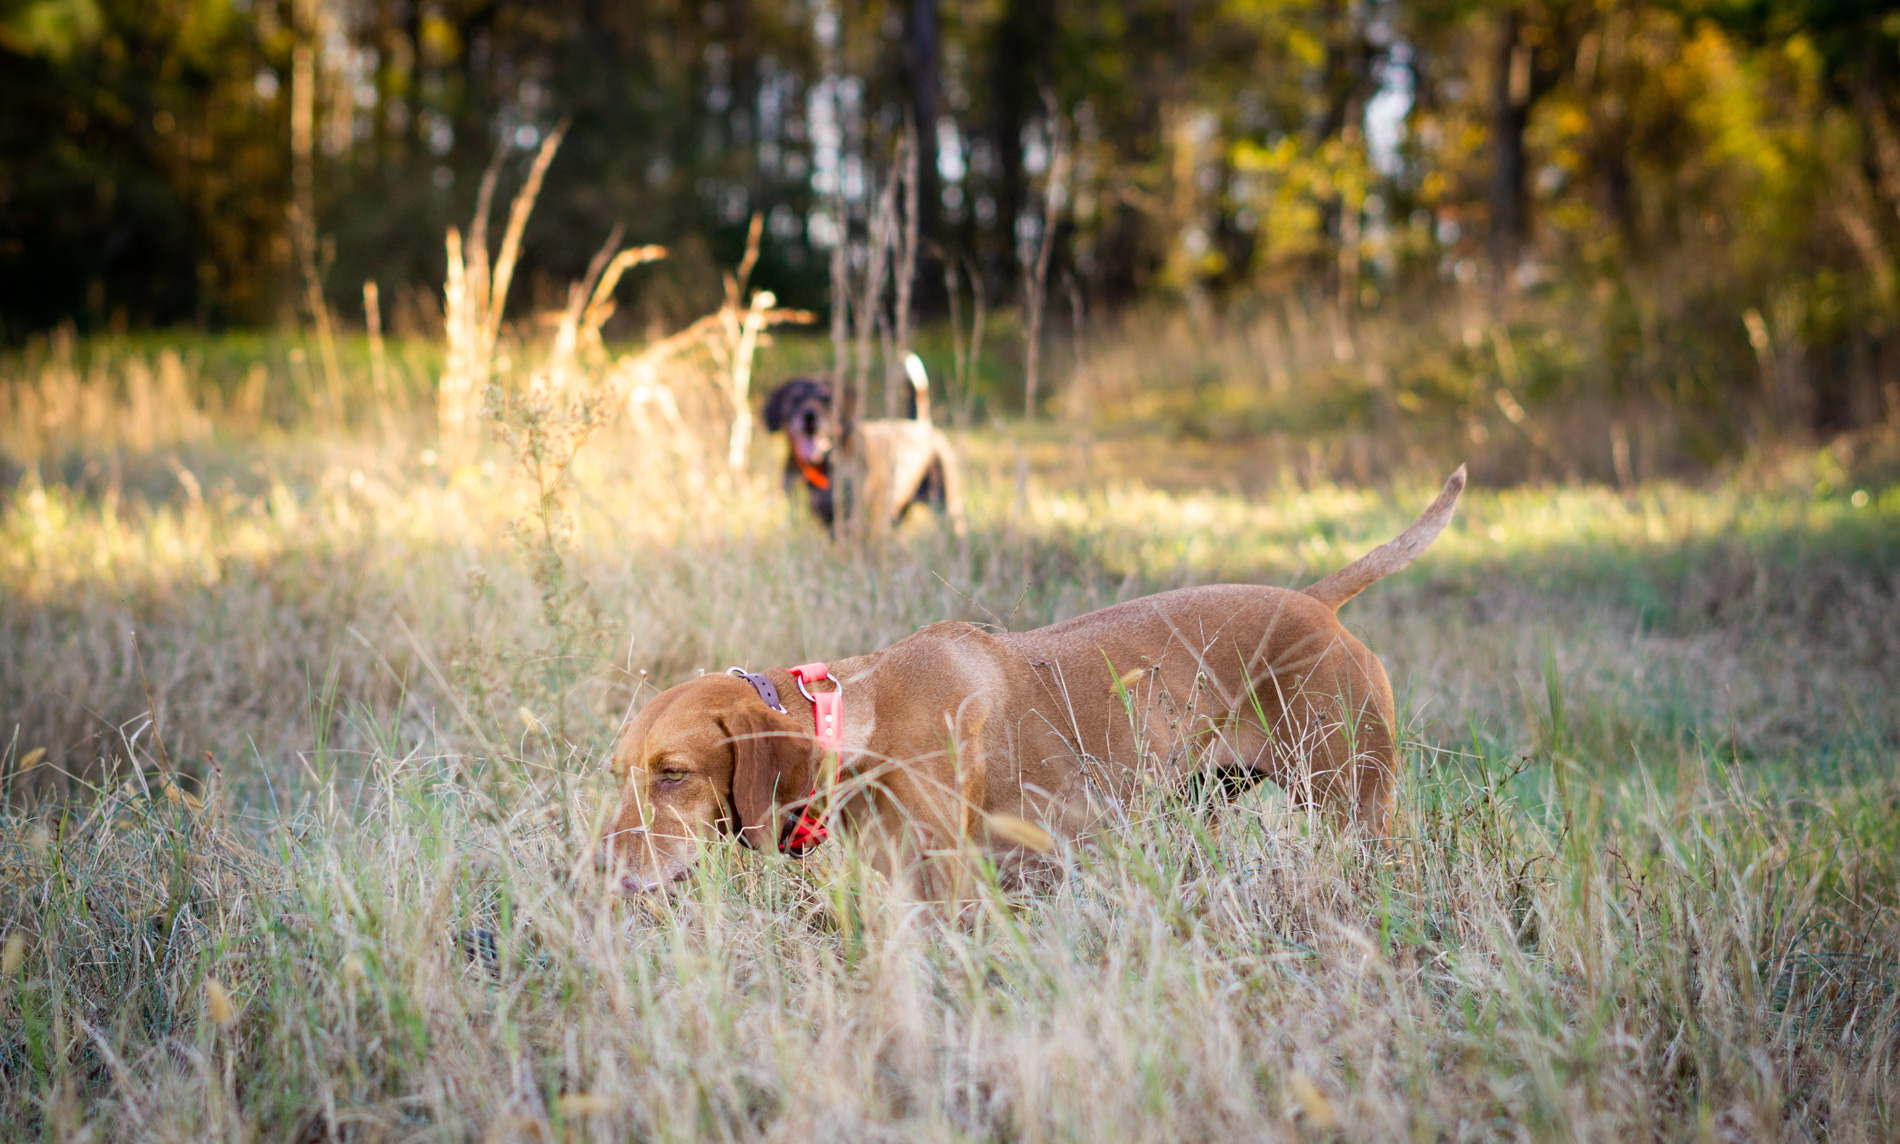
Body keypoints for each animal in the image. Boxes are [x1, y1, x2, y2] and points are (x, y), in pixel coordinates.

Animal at [596, 463, 1466, 889]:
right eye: (621, 774)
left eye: (674, 774)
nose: (599, 873)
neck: (855, 718)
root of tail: (1316, 603)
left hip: (1356, 808)